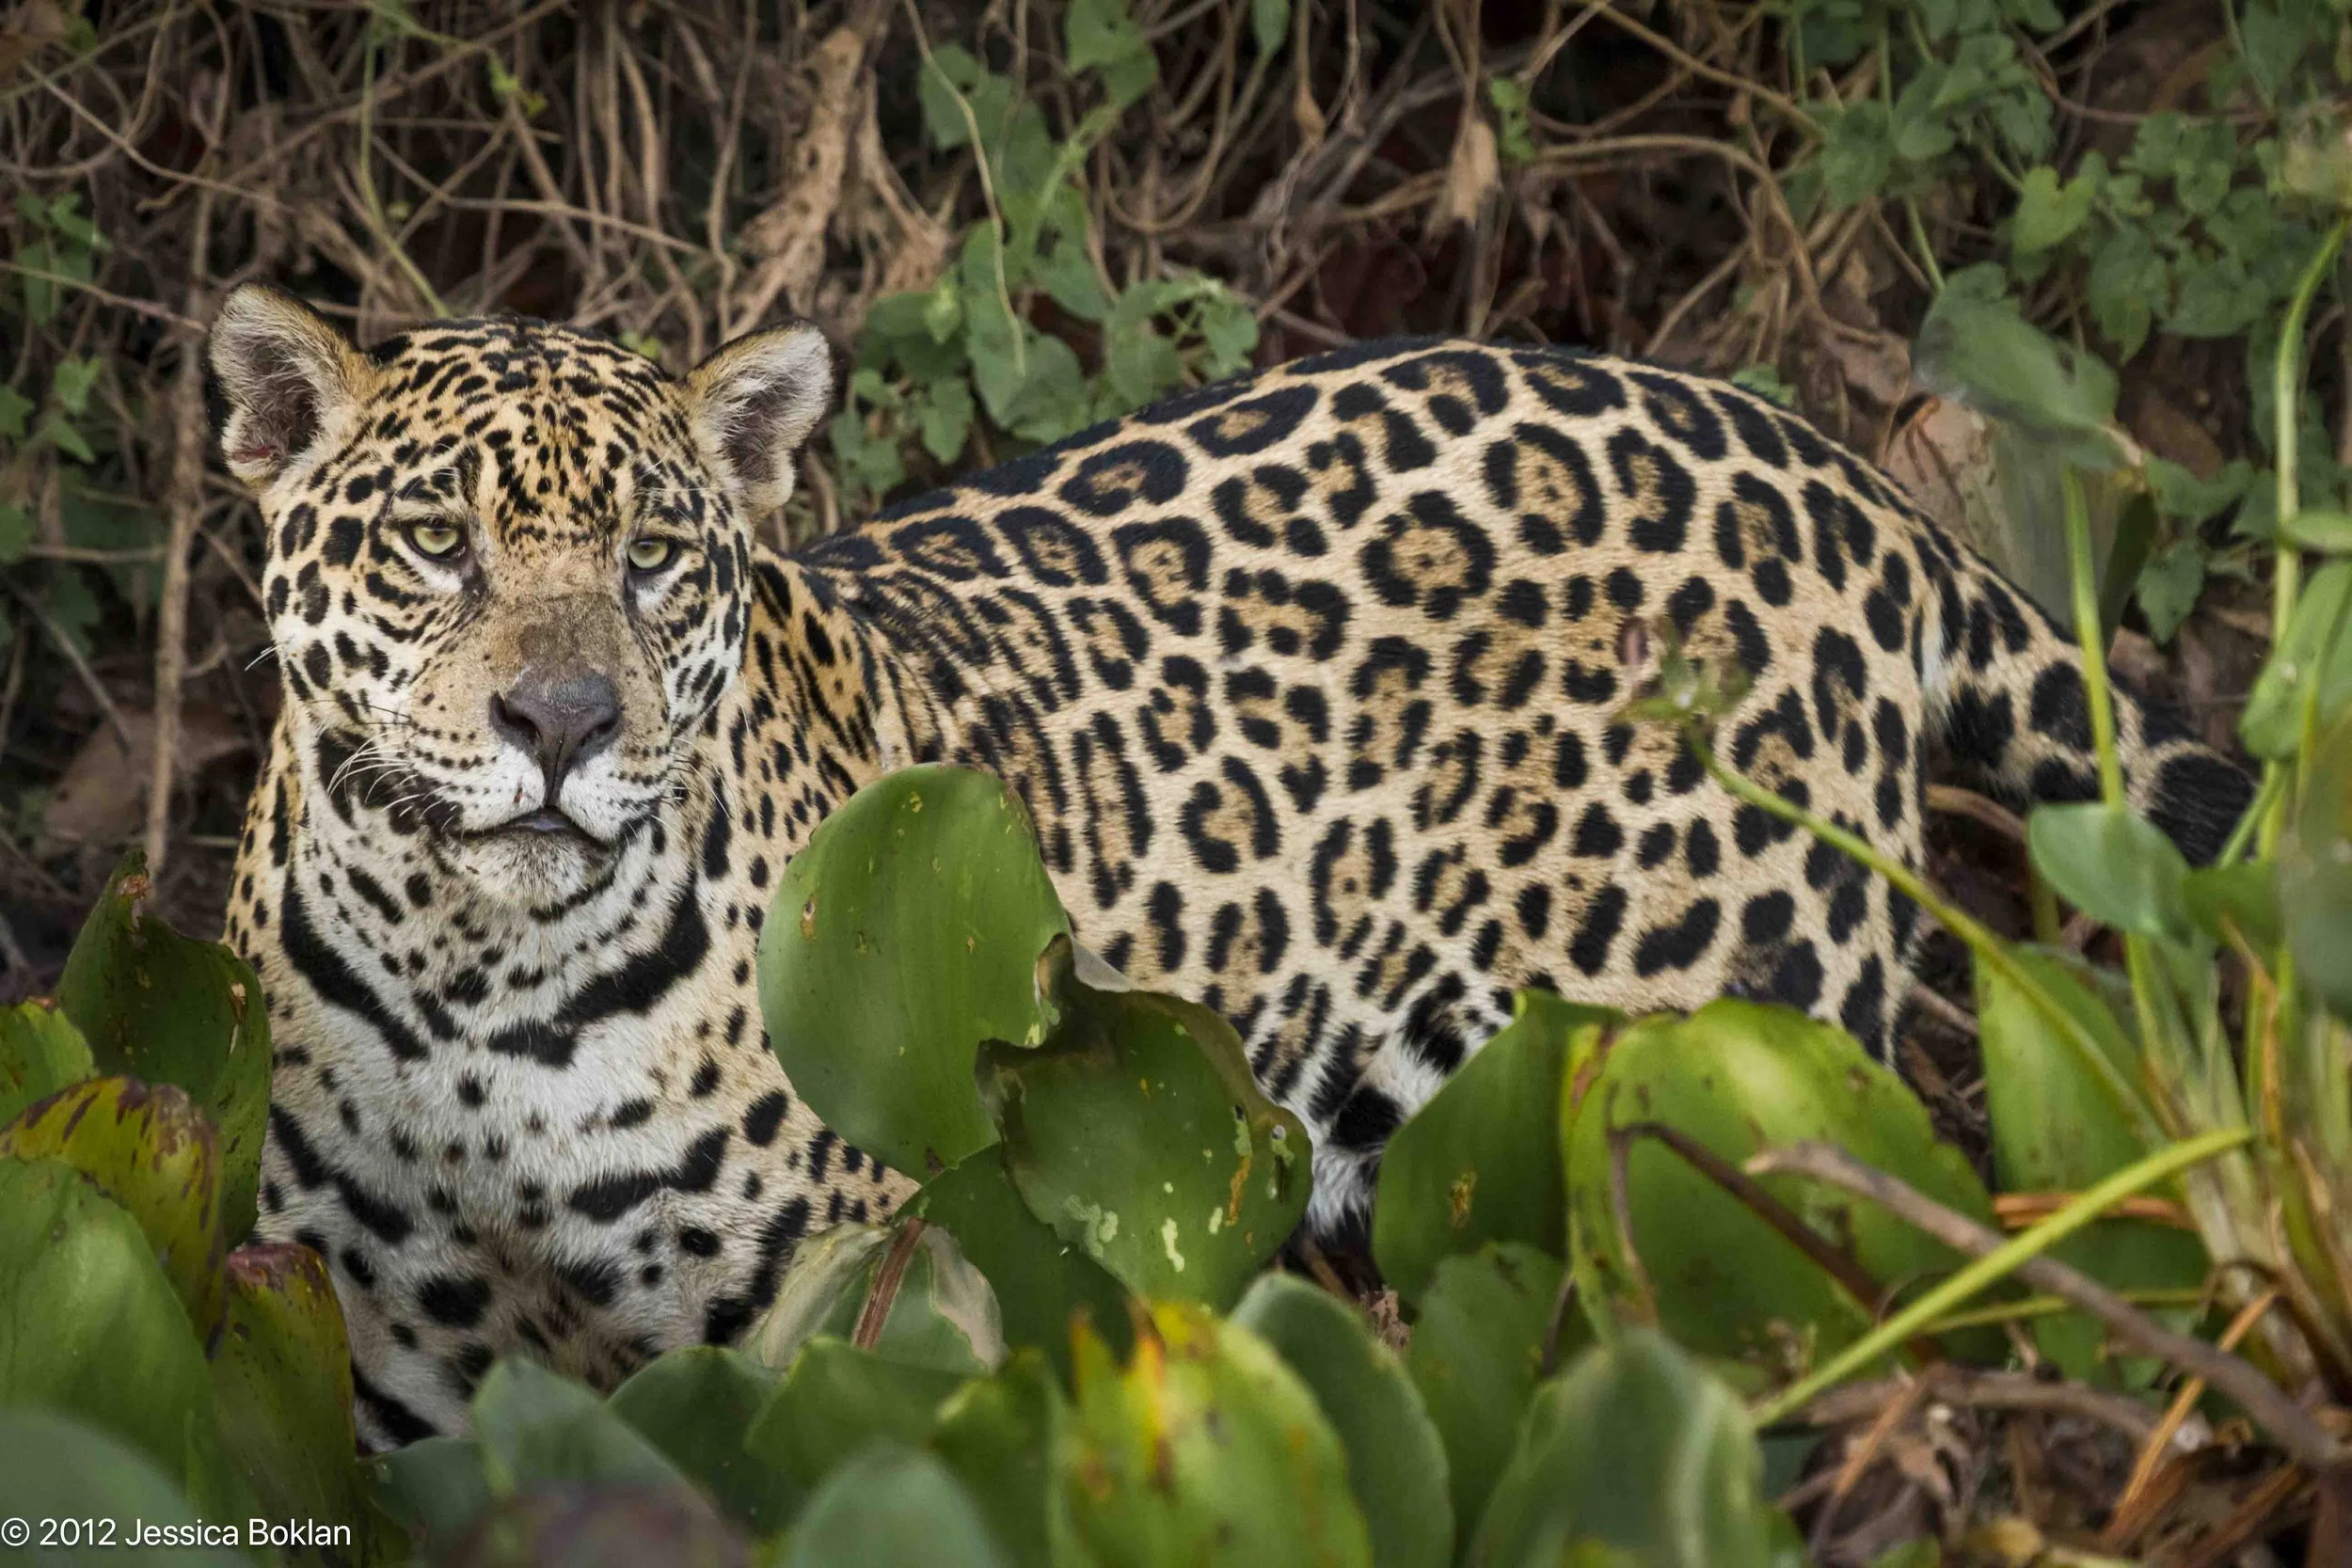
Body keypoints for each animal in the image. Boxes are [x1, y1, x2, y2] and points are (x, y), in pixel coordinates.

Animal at [206, 281, 2251, 1448]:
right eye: (437, 544)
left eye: (652, 559)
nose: (563, 719)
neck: (480, 988)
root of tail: (1826, 470)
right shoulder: (381, 1375)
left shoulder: (839, 1328)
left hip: (1714, 1096)